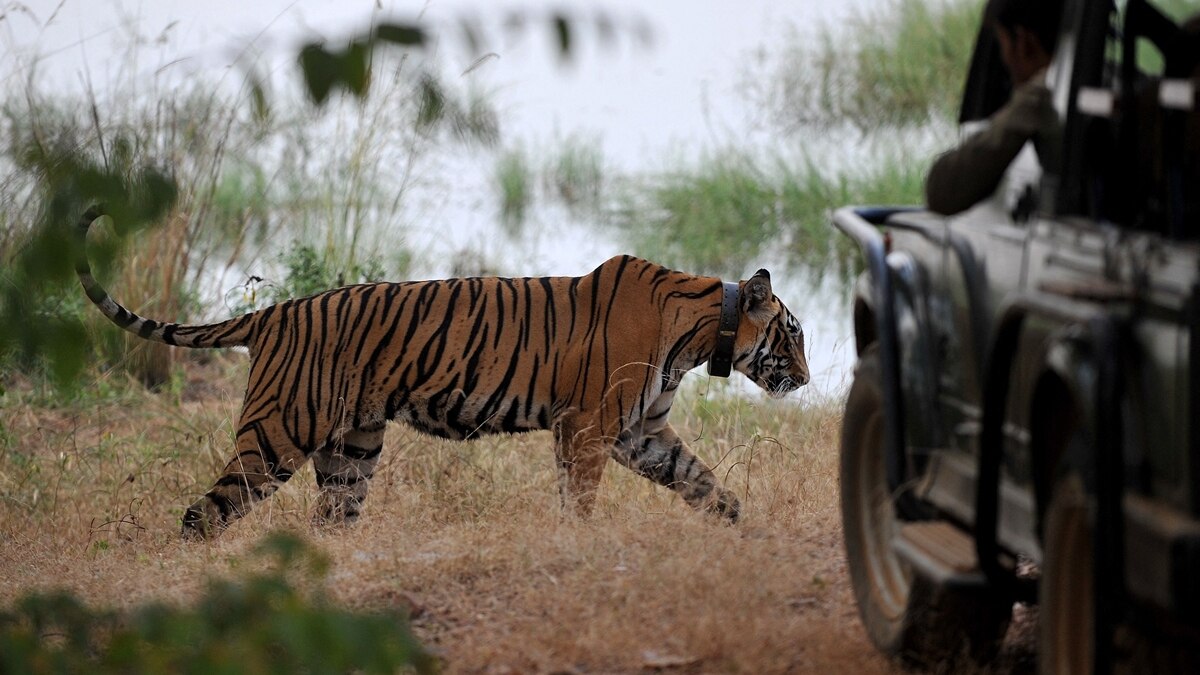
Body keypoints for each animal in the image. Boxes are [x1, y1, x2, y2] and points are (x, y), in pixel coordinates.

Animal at [76, 207, 810, 539]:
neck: (702, 331)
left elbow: (703, 481)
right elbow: (580, 498)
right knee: (203, 514)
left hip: (352, 448)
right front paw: (577, 544)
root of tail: (274, 311)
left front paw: (743, 528)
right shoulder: (590, 426)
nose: (805, 378)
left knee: (328, 519)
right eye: (795, 333)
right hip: (278, 433)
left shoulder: (641, 433)